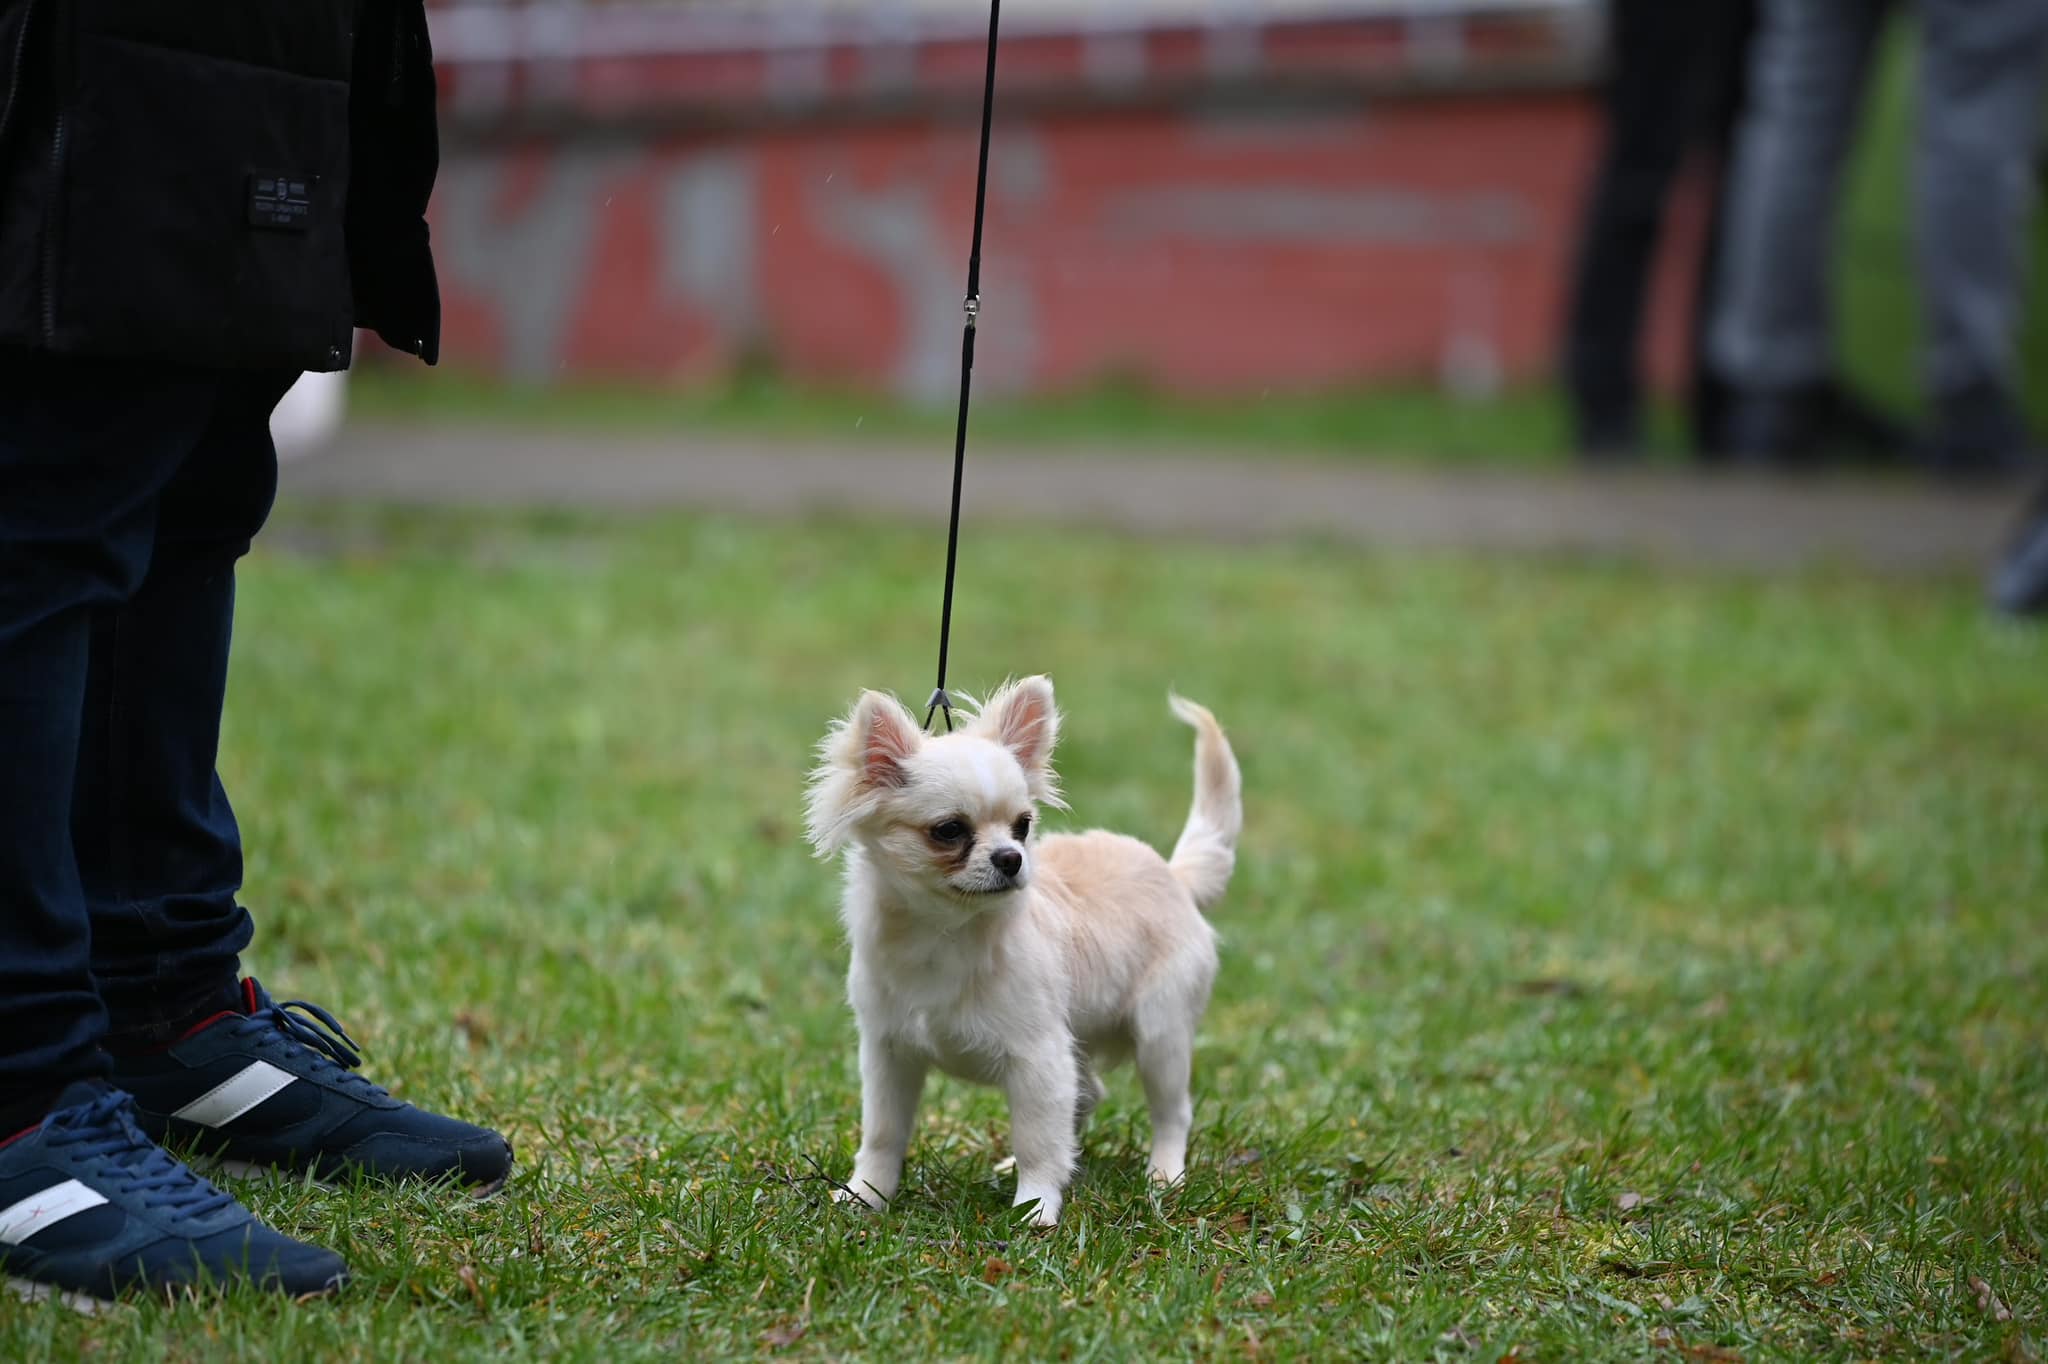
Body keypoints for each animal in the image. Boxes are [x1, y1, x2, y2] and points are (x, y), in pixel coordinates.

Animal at [806, 675, 1236, 1212]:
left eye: (1023, 825)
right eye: (949, 831)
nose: (1011, 858)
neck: (945, 933)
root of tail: (1176, 876)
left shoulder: (1038, 1059)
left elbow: (1037, 1140)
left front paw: (1036, 1207)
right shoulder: (889, 1055)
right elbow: (883, 1135)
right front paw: (866, 1196)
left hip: (1162, 1034)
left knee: (1171, 1112)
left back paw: (1164, 1176)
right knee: (1088, 1095)